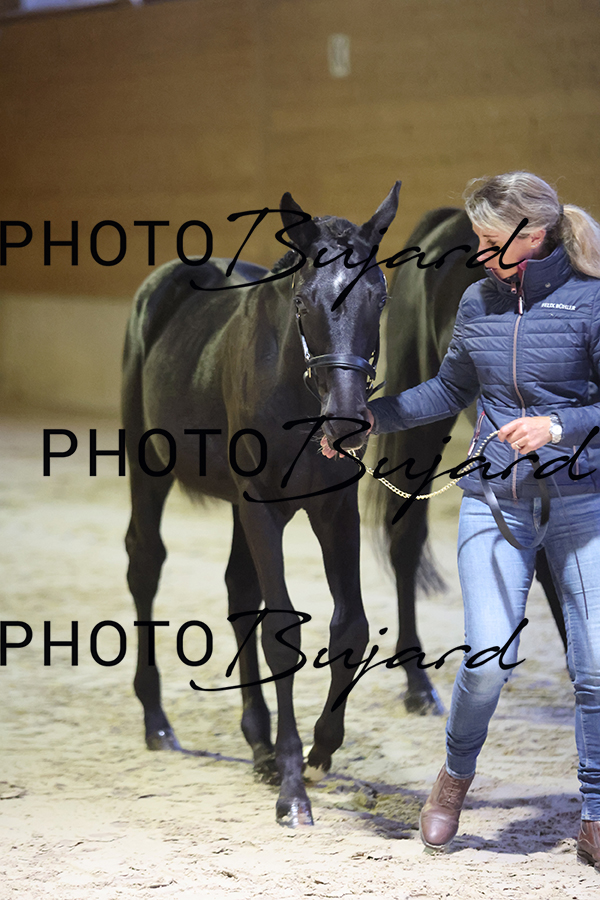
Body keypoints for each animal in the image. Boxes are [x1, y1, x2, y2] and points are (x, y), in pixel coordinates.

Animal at [122, 183, 401, 826]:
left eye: (378, 296)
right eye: (303, 302)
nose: (347, 422)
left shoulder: (334, 508)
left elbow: (349, 625)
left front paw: (321, 749)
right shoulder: (262, 508)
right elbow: (280, 631)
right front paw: (294, 790)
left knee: (236, 589)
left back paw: (258, 744)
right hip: (149, 469)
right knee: (145, 563)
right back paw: (157, 723)